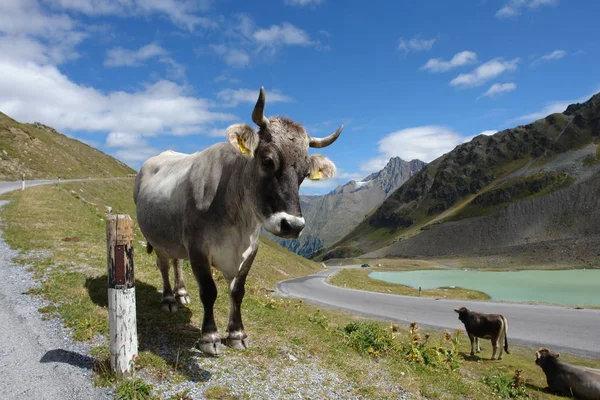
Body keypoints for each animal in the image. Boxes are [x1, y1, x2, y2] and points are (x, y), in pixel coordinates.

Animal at [134, 88, 344, 356]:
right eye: (267, 160)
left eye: (306, 173)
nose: (293, 226)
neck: (237, 220)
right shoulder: (198, 248)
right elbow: (209, 291)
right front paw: (209, 337)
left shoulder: (250, 249)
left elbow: (237, 291)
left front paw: (237, 333)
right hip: (157, 237)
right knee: (164, 265)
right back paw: (169, 299)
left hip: (175, 240)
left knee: (176, 261)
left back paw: (181, 294)